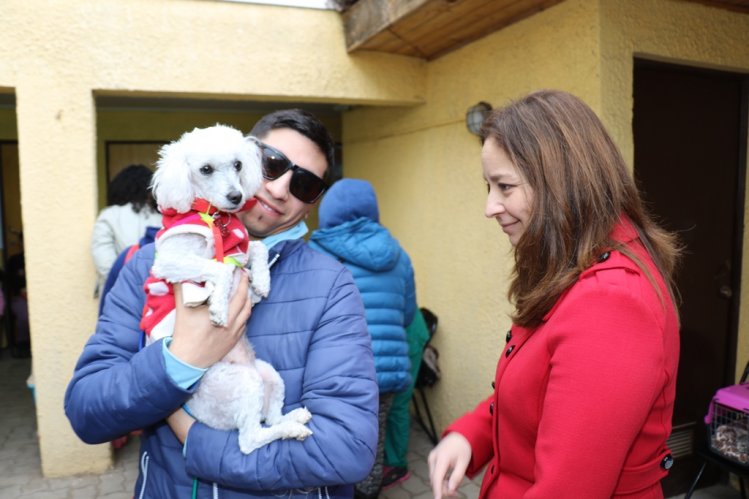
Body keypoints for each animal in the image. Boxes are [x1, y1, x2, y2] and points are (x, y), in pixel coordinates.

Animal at [145, 124, 312, 454]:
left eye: (238, 165)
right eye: (205, 169)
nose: (236, 196)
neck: (214, 218)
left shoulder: (241, 260)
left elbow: (257, 248)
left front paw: (262, 280)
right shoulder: (169, 262)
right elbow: (220, 268)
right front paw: (219, 308)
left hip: (267, 374)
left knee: (270, 418)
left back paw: (294, 419)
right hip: (242, 384)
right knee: (249, 440)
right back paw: (291, 429)